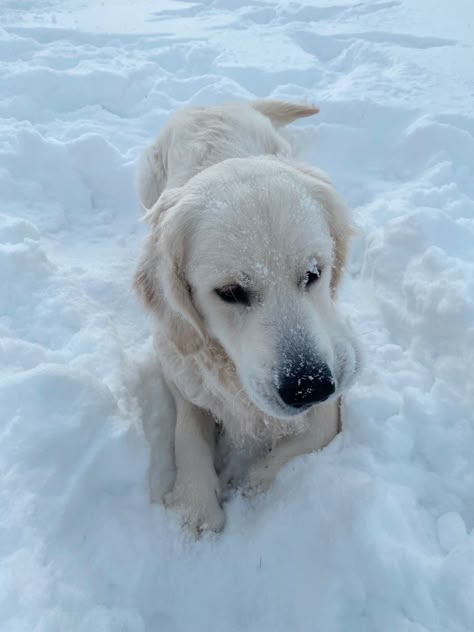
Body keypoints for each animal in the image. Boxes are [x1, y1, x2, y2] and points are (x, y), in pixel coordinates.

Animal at [133, 100, 360, 532]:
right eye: (230, 292)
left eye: (313, 273)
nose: (308, 386)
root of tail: (214, 102)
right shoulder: (178, 366)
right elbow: (187, 433)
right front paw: (197, 505)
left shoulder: (337, 365)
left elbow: (318, 430)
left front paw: (253, 476)